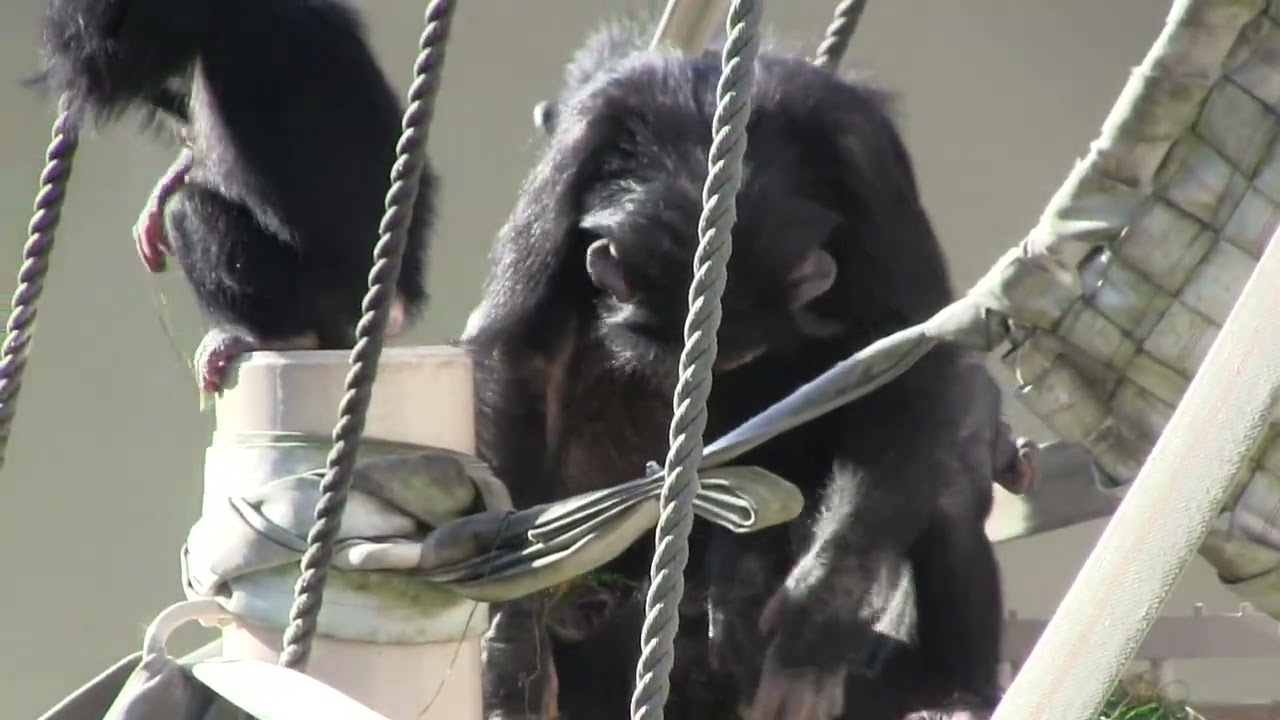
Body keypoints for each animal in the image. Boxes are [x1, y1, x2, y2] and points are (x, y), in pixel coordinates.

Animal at [462, 25, 1009, 720]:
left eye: (746, 362)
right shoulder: (579, 144)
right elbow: (526, 350)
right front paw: (514, 648)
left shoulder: (864, 149)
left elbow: (904, 355)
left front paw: (814, 624)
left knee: (944, 462)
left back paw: (949, 684)